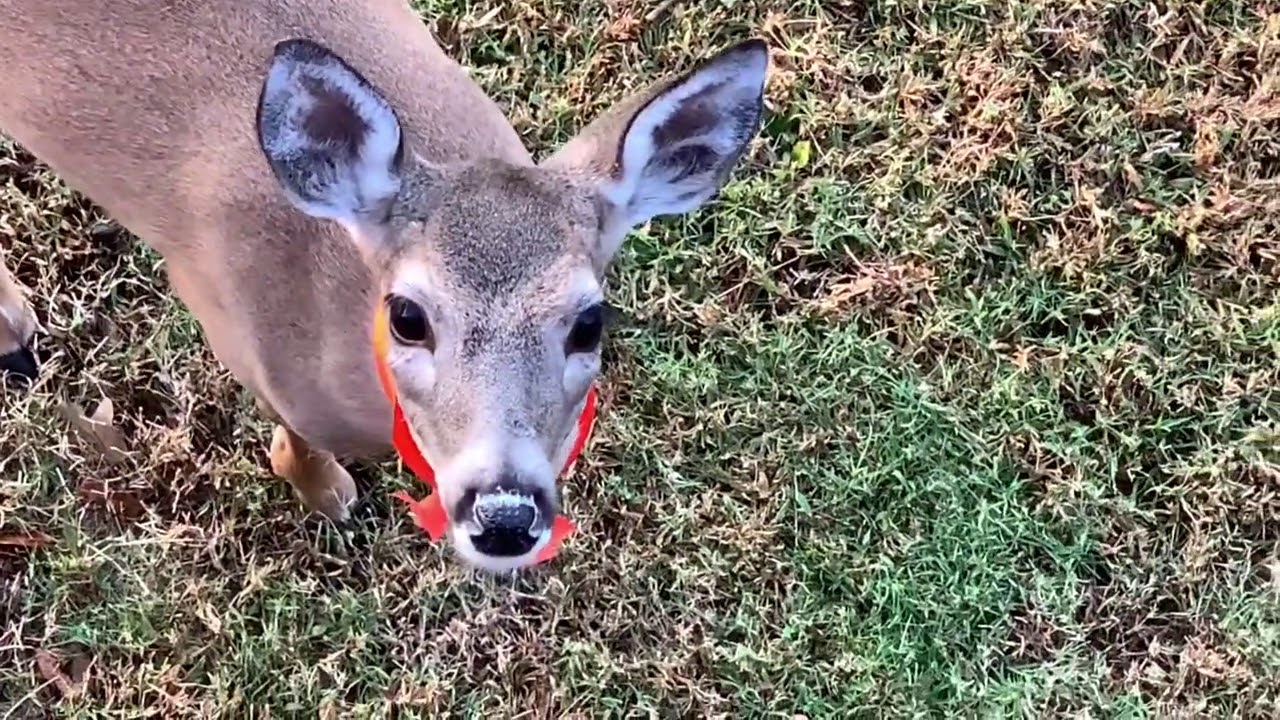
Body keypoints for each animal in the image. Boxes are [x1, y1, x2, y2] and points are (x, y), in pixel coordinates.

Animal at [0, 0, 769, 571]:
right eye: (407, 315)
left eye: (589, 322)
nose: (504, 515)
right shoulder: (228, 323)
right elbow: (292, 436)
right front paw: (327, 493)